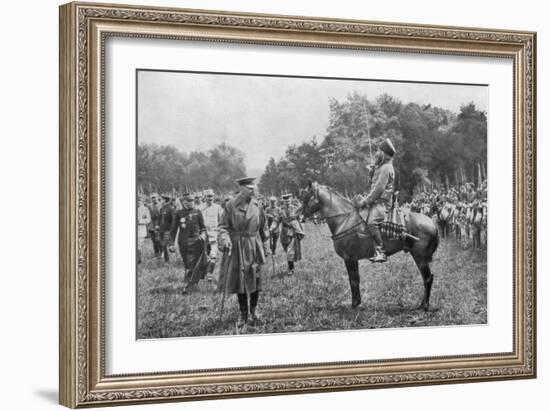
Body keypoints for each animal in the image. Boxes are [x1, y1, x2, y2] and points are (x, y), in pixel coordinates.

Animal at [302, 183, 440, 312]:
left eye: (307, 197)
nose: (301, 217)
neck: (345, 220)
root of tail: (433, 223)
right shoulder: (353, 259)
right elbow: (356, 279)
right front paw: (357, 302)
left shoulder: (348, 258)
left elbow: (353, 280)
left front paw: (354, 304)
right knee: (425, 278)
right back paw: (421, 304)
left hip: (420, 257)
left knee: (428, 278)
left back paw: (425, 306)